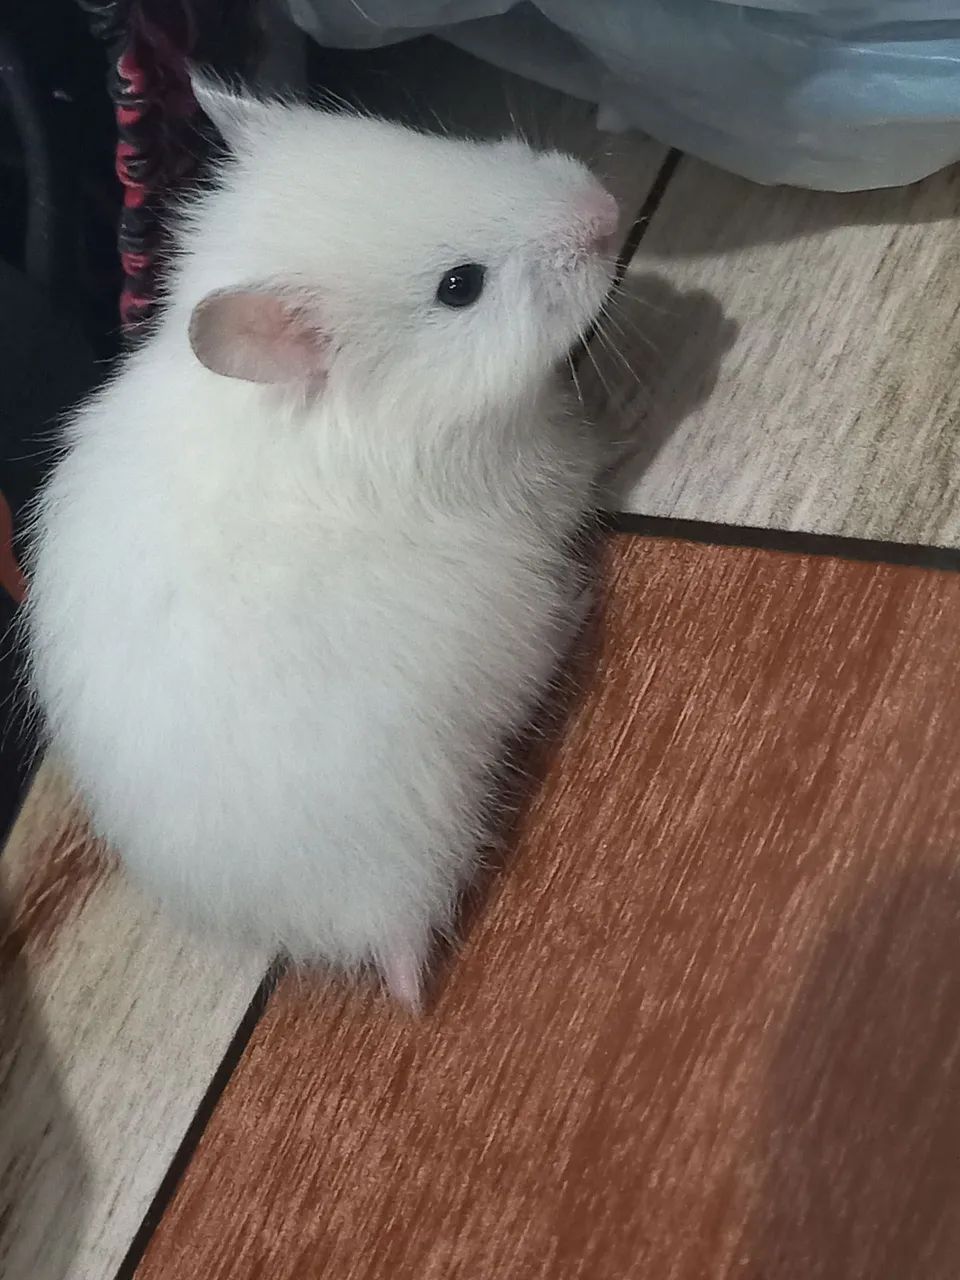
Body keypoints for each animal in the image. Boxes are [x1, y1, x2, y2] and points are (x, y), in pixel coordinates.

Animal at [25, 79, 619, 1010]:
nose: (612, 209)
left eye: (432, 140)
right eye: (460, 287)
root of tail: (339, 934)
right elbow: (586, 457)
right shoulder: (533, 473)